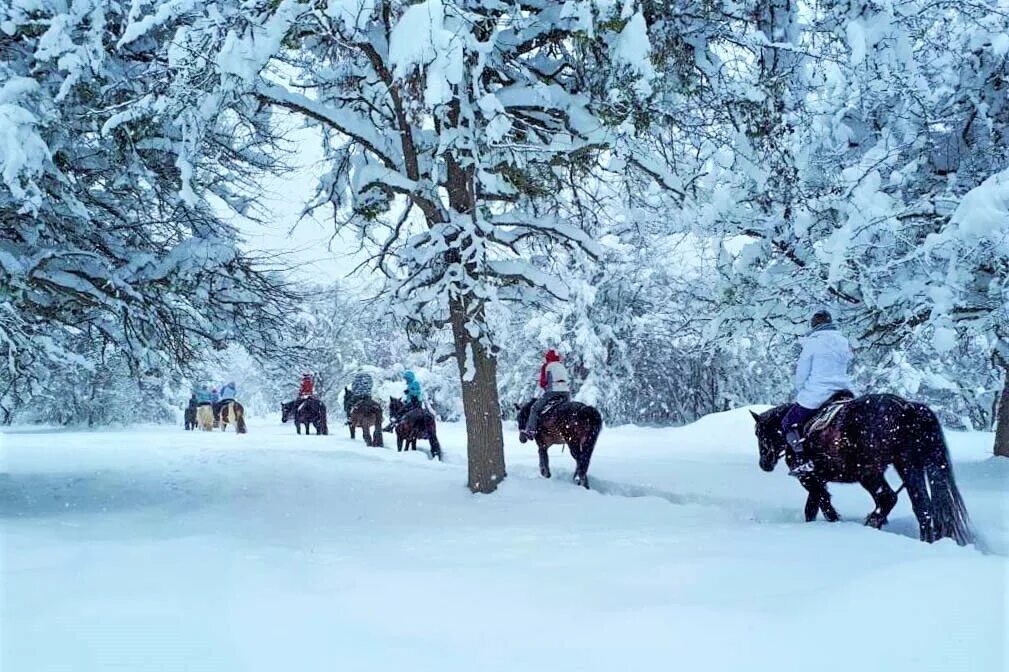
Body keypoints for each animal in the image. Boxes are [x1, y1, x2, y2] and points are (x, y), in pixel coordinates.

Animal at [754, 393, 972, 544]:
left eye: (759, 433)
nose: (764, 464)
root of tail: (908, 408)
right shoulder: (818, 480)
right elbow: (813, 507)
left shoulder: (808, 479)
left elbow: (823, 505)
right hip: (909, 466)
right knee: (923, 506)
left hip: (869, 474)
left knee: (888, 498)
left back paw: (872, 524)